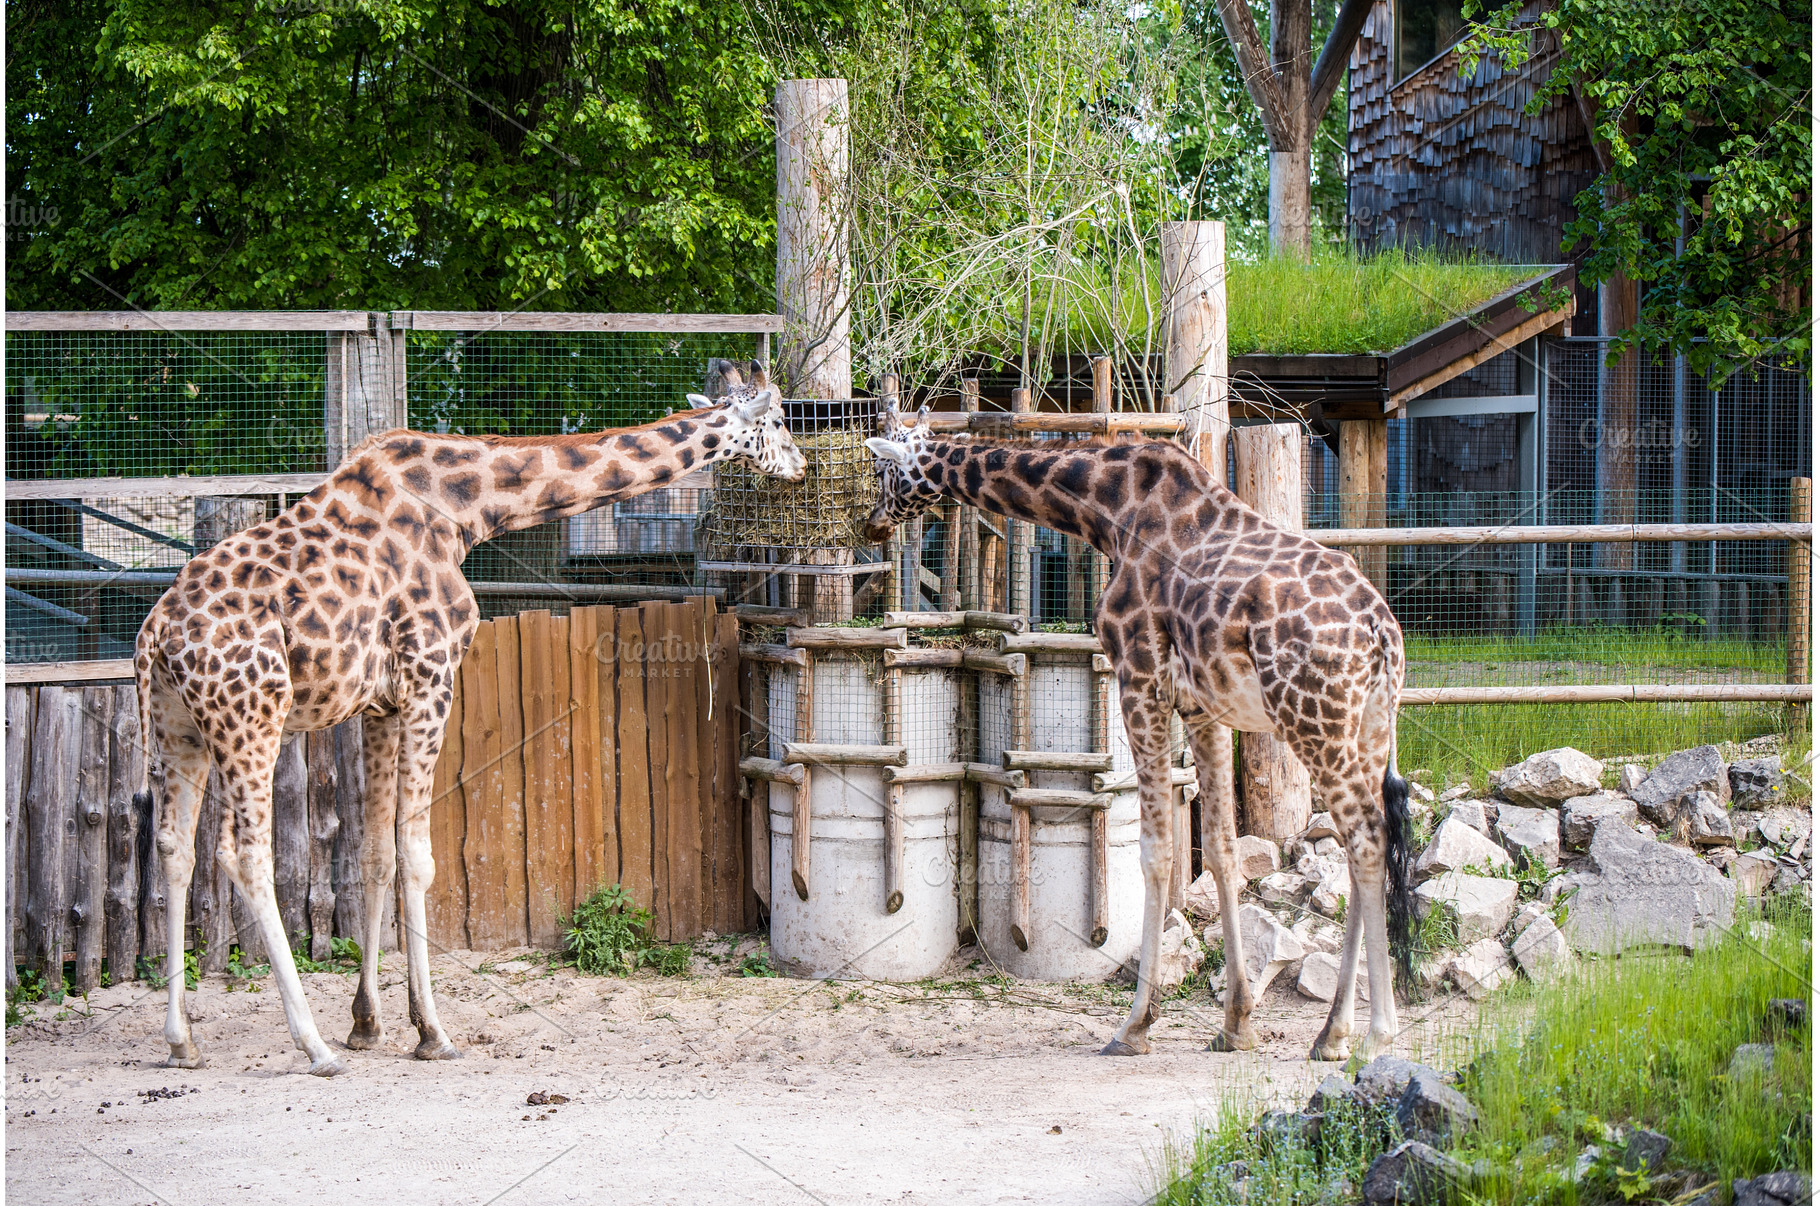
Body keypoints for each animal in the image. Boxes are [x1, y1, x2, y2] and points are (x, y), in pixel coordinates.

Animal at [132, 373, 806, 1076]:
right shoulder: (431, 676)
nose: (802, 463)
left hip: (180, 730)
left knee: (175, 848)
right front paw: (430, 1031)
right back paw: (311, 1045)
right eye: (779, 421)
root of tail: (155, 637)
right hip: (251, 720)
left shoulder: (380, 706)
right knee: (245, 855)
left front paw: (368, 1024)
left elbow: (375, 854)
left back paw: (182, 1040)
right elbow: (418, 857)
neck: (469, 509)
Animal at [863, 409, 1414, 1060]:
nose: (870, 522)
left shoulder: (1139, 678)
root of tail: (1382, 633)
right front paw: (1237, 1024)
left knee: (1366, 837)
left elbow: (1157, 853)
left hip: (1311, 716)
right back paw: (1333, 1035)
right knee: (1361, 842)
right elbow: (1220, 850)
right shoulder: (1203, 710)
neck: (1106, 510)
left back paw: (1375, 1034)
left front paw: (1134, 1026)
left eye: (883, 470)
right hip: (1369, 724)